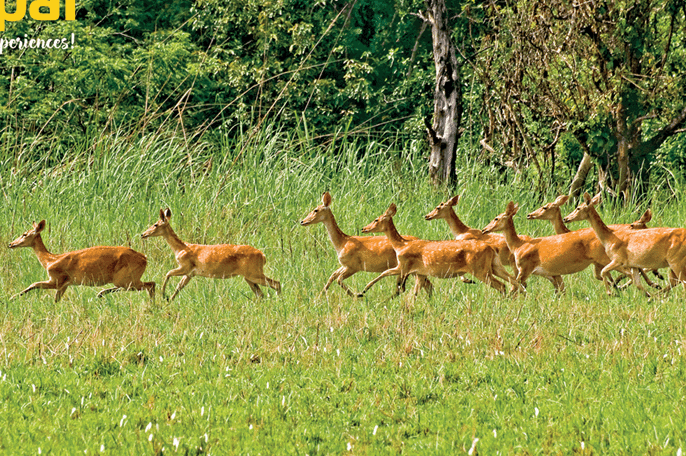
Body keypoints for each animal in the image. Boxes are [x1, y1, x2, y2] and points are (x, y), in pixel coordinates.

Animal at [9, 219, 155, 302]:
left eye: (24, 234)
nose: (11, 244)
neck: (49, 260)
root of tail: (144, 258)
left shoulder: (57, 279)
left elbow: (33, 284)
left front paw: (11, 298)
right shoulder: (65, 284)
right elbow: (56, 300)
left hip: (125, 277)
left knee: (149, 285)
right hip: (127, 278)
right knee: (149, 284)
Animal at [141, 208, 280, 302]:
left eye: (155, 224)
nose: (143, 234)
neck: (180, 249)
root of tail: (263, 256)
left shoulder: (185, 266)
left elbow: (168, 273)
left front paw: (163, 294)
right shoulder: (190, 273)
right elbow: (179, 287)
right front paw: (168, 300)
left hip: (253, 273)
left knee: (276, 283)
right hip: (249, 276)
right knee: (261, 293)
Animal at [358, 204, 520, 298]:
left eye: (376, 219)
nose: (363, 228)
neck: (400, 245)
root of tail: (491, 248)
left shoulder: (404, 266)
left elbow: (385, 274)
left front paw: (362, 291)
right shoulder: (419, 272)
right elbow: (416, 291)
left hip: (480, 269)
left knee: (501, 285)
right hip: (494, 265)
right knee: (512, 281)